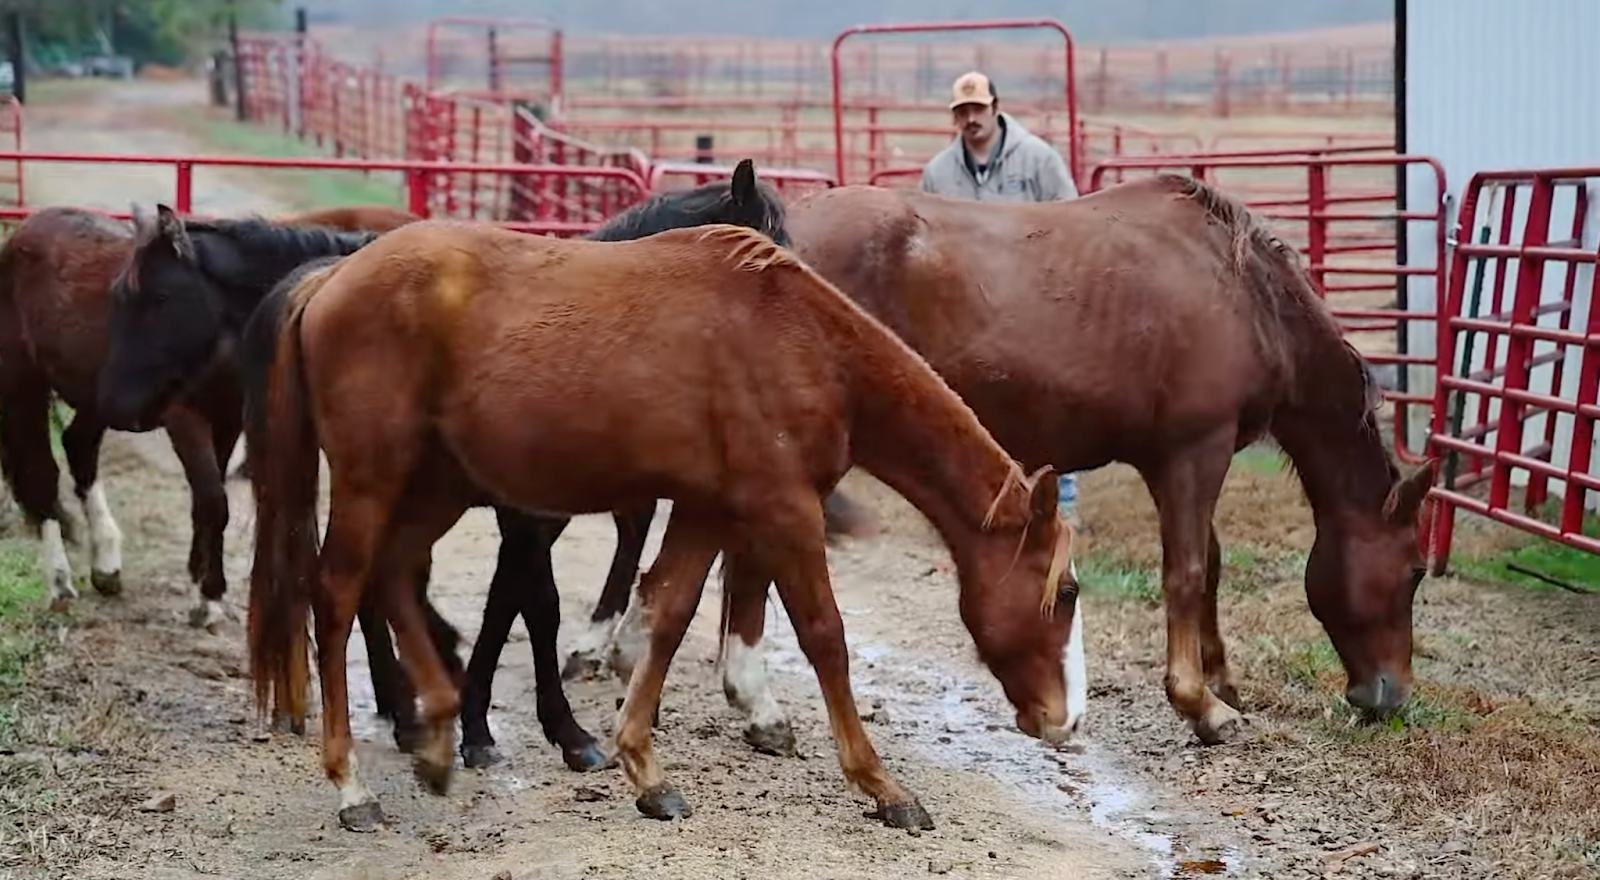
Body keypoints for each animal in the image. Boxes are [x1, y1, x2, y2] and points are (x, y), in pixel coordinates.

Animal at [0, 203, 414, 619]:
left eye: (160, 297)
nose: (117, 399)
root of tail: (24, 232)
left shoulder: (227, 417)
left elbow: (208, 500)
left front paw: (202, 585)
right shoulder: (185, 416)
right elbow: (214, 499)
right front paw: (209, 595)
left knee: (78, 448)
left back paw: (106, 564)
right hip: (27, 386)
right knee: (40, 475)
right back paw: (60, 583)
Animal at [95, 162, 823, 771]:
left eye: (150, 296)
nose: (116, 403)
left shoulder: (528, 515)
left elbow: (510, 603)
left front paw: (484, 716)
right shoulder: (523, 516)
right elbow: (532, 605)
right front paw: (544, 729)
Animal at [242, 217, 1079, 832]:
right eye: (1066, 593)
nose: (1060, 721)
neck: (799, 341)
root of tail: (331, 278)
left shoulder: (709, 506)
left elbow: (670, 614)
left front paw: (645, 771)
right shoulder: (783, 508)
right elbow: (823, 636)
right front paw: (881, 786)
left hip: (436, 487)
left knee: (391, 577)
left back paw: (442, 740)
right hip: (371, 480)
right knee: (337, 593)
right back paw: (353, 786)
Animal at [645, 174, 1433, 747]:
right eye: (1417, 571)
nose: (1387, 698)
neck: (1240, 291)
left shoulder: (1177, 463)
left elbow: (1206, 568)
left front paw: (1219, 680)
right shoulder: (1193, 452)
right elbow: (1186, 574)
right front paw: (1201, 705)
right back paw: (754, 704)